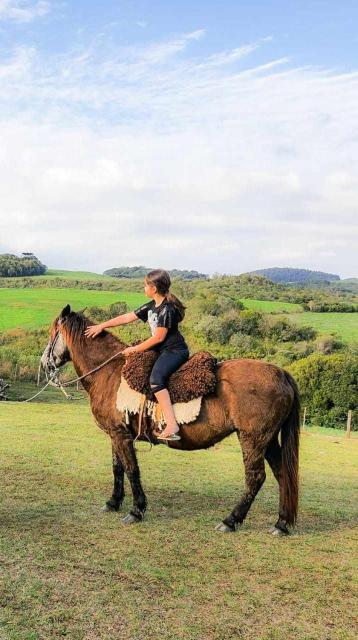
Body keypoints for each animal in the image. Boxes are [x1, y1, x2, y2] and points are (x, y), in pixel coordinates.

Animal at [40, 308, 300, 532]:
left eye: (53, 333)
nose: (44, 364)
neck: (110, 373)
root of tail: (282, 373)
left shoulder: (121, 436)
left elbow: (131, 469)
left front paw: (136, 510)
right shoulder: (116, 434)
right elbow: (117, 468)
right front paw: (113, 502)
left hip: (252, 439)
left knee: (256, 478)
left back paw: (231, 520)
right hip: (268, 440)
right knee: (282, 474)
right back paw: (281, 523)